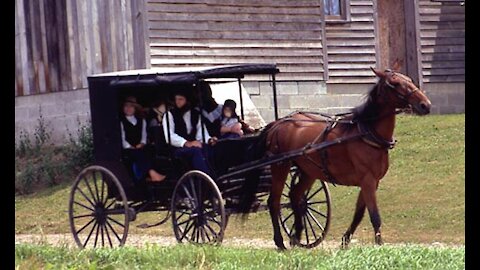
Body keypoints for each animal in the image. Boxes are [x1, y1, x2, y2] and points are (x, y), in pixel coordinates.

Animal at [244, 63, 432, 249]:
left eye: (409, 80)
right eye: (395, 83)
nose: (425, 105)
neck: (366, 133)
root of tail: (278, 123)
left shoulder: (371, 182)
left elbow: (359, 214)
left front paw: (345, 241)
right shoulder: (368, 180)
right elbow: (374, 216)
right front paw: (379, 246)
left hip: (309, 171)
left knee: (295, 196)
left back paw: (297, 236)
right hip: (280, 166)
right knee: (274, 202)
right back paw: (280, 241)